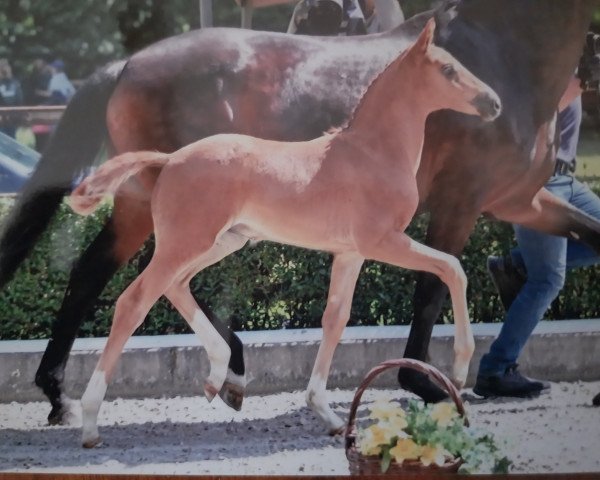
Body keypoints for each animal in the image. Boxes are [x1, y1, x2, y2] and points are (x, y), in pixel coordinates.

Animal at [71, 18, 502, 446]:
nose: (494, 103)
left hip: (220, 241)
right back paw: (90, 420)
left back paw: (218, 376)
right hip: (187, 242)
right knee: (135, 301)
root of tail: (171, 158)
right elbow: (452, 268)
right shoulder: (383, 241)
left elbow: (336, 318)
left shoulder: (350, 253)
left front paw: (325, 412)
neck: (371, 153)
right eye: (448, 69)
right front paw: (459, 369)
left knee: (175, 286)